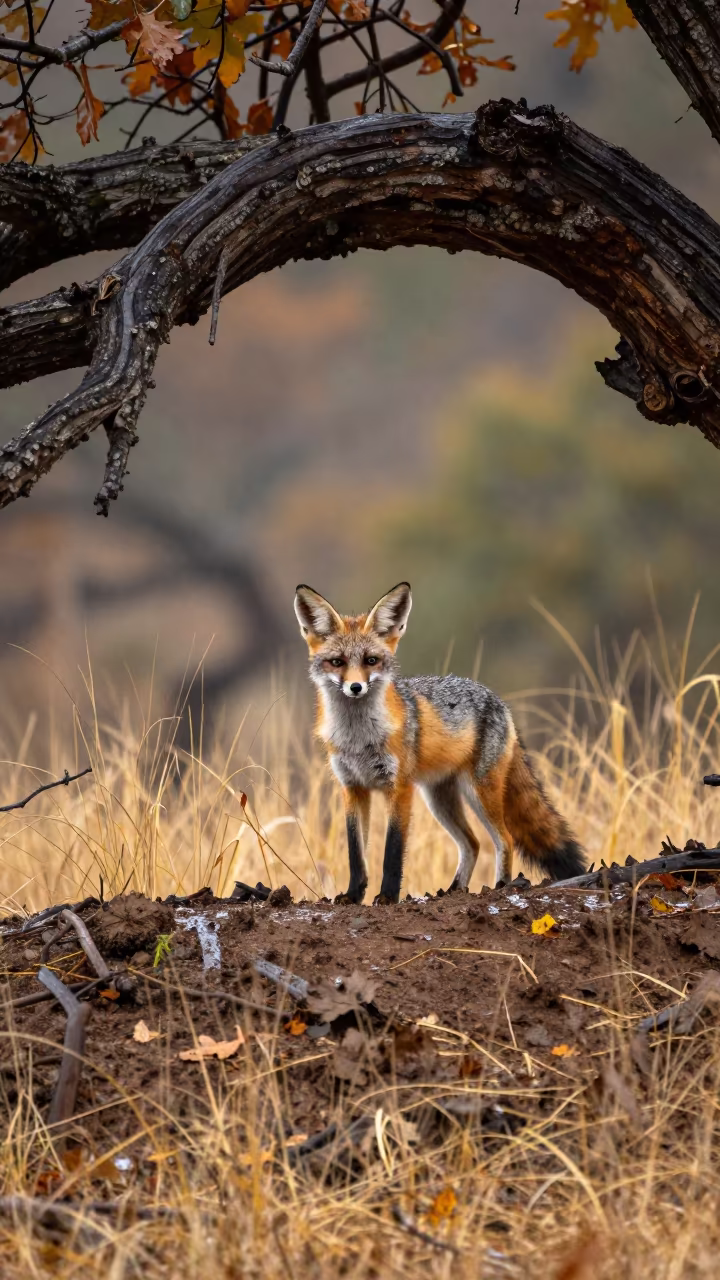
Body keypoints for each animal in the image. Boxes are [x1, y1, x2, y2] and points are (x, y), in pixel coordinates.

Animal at [294, 581, 585, 904]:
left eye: (371, 660)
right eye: (337, 662)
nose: (355, 687)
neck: (358, 740)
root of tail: (498, 700)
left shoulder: (400, 787)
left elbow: (392, 852)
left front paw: (387, 897)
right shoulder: (352, 788)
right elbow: (356, 854)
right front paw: (353, 896)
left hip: (479, 792)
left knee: (505, 839)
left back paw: (499, 888)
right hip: (440, 800)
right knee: (472, 844)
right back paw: (454, 890)